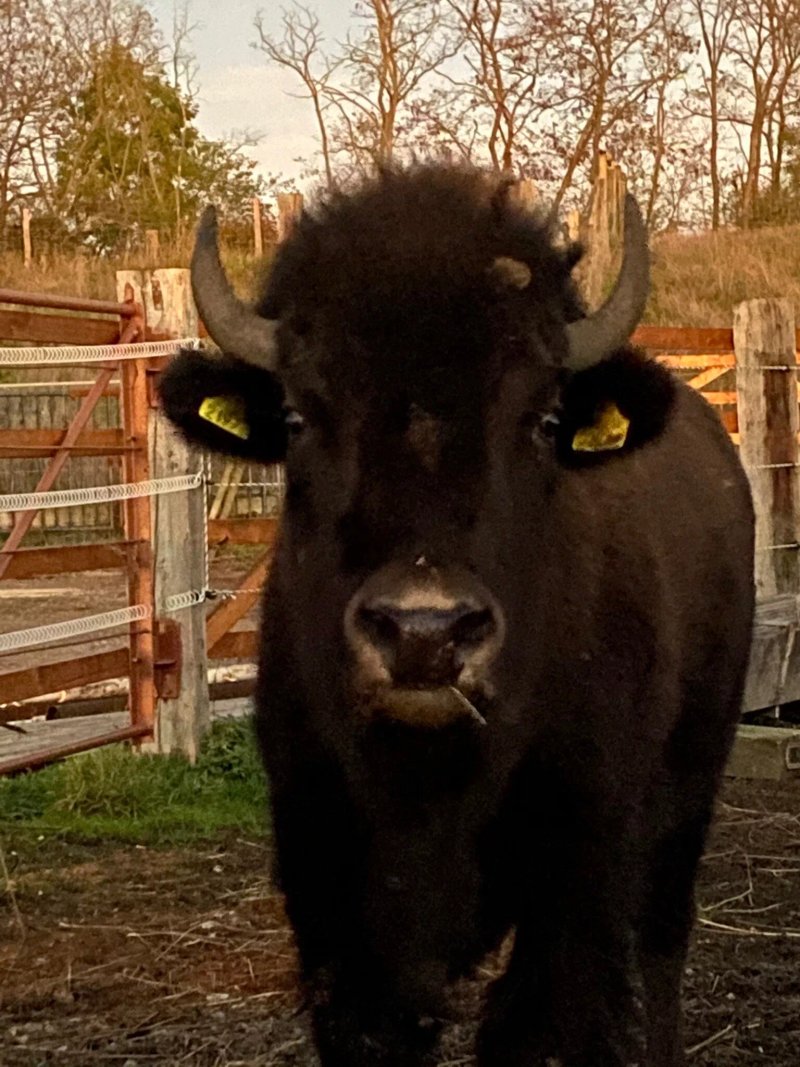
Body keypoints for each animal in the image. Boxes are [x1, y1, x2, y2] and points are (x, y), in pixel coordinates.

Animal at [159, 166, 755, 1067]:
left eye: (543, 420)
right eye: (297, 418)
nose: (425, 634)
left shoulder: (573, 886)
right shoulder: (335, 915)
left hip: (689, 795)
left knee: (661, 946)